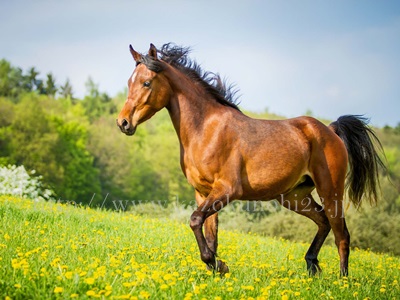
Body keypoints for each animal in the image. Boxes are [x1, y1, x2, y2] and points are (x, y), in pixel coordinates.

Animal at [115, 42, 384, 276]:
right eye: (129, 82)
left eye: (147, 82)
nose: (123, 123)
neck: (206, 129)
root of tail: (329, 131)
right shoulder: (203, 192)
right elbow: (209, 233)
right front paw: (216, 268)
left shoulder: (226, 190)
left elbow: (194, 220)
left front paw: (217, 264)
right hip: (294, 197)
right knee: (324, 222)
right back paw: (312, 266)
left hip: (330, 190)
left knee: (342, 235)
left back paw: (342, 280)